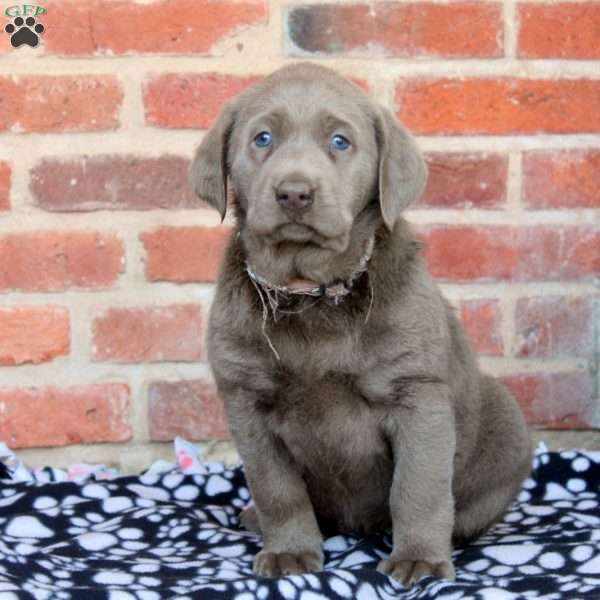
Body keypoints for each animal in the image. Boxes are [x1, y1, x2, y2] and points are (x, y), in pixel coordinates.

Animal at [190, 64, 532, 584]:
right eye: (263, 138)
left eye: (340, 141)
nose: (294, 193)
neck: (310, 293)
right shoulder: (245, 399)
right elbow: (276, 489)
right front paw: (289, 552)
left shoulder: (418, 395)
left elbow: (419, 486)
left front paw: (420, 560)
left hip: (508, 422)